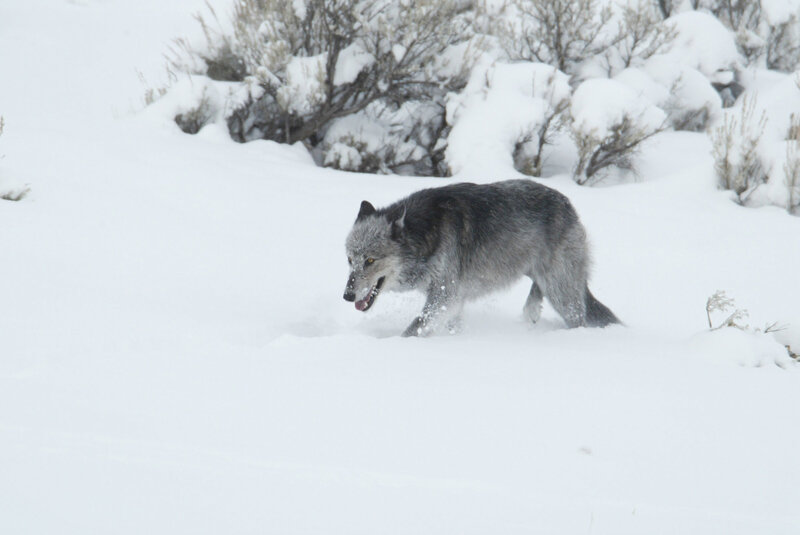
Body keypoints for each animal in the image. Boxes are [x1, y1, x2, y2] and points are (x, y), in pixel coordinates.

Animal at [343, 179, 619, 336]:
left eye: (370, 260)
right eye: (350, 260)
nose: (347, 296)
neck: (425, 234)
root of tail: (568, 205)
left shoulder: (446, 296)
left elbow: (412, 329)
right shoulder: (450, 301)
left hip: (562, 294)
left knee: (578, 318)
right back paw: (530, 313)